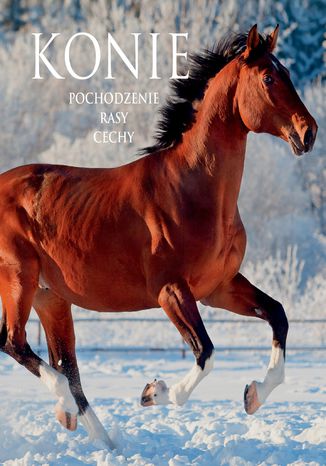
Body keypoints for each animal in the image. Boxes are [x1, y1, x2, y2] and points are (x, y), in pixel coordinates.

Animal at [0, 25, 318, 448]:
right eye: (269, 78)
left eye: (288, 74)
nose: (308, 132)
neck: (191, 190)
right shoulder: (172, 292)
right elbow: (206, 352)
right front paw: (154, 391)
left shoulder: (218, 287)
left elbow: (278, 315)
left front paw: (253, 394)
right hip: (18, 280)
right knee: (16, 343)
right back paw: (66, 407)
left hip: (50, 298)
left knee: (66, 367)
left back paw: (104, 440)